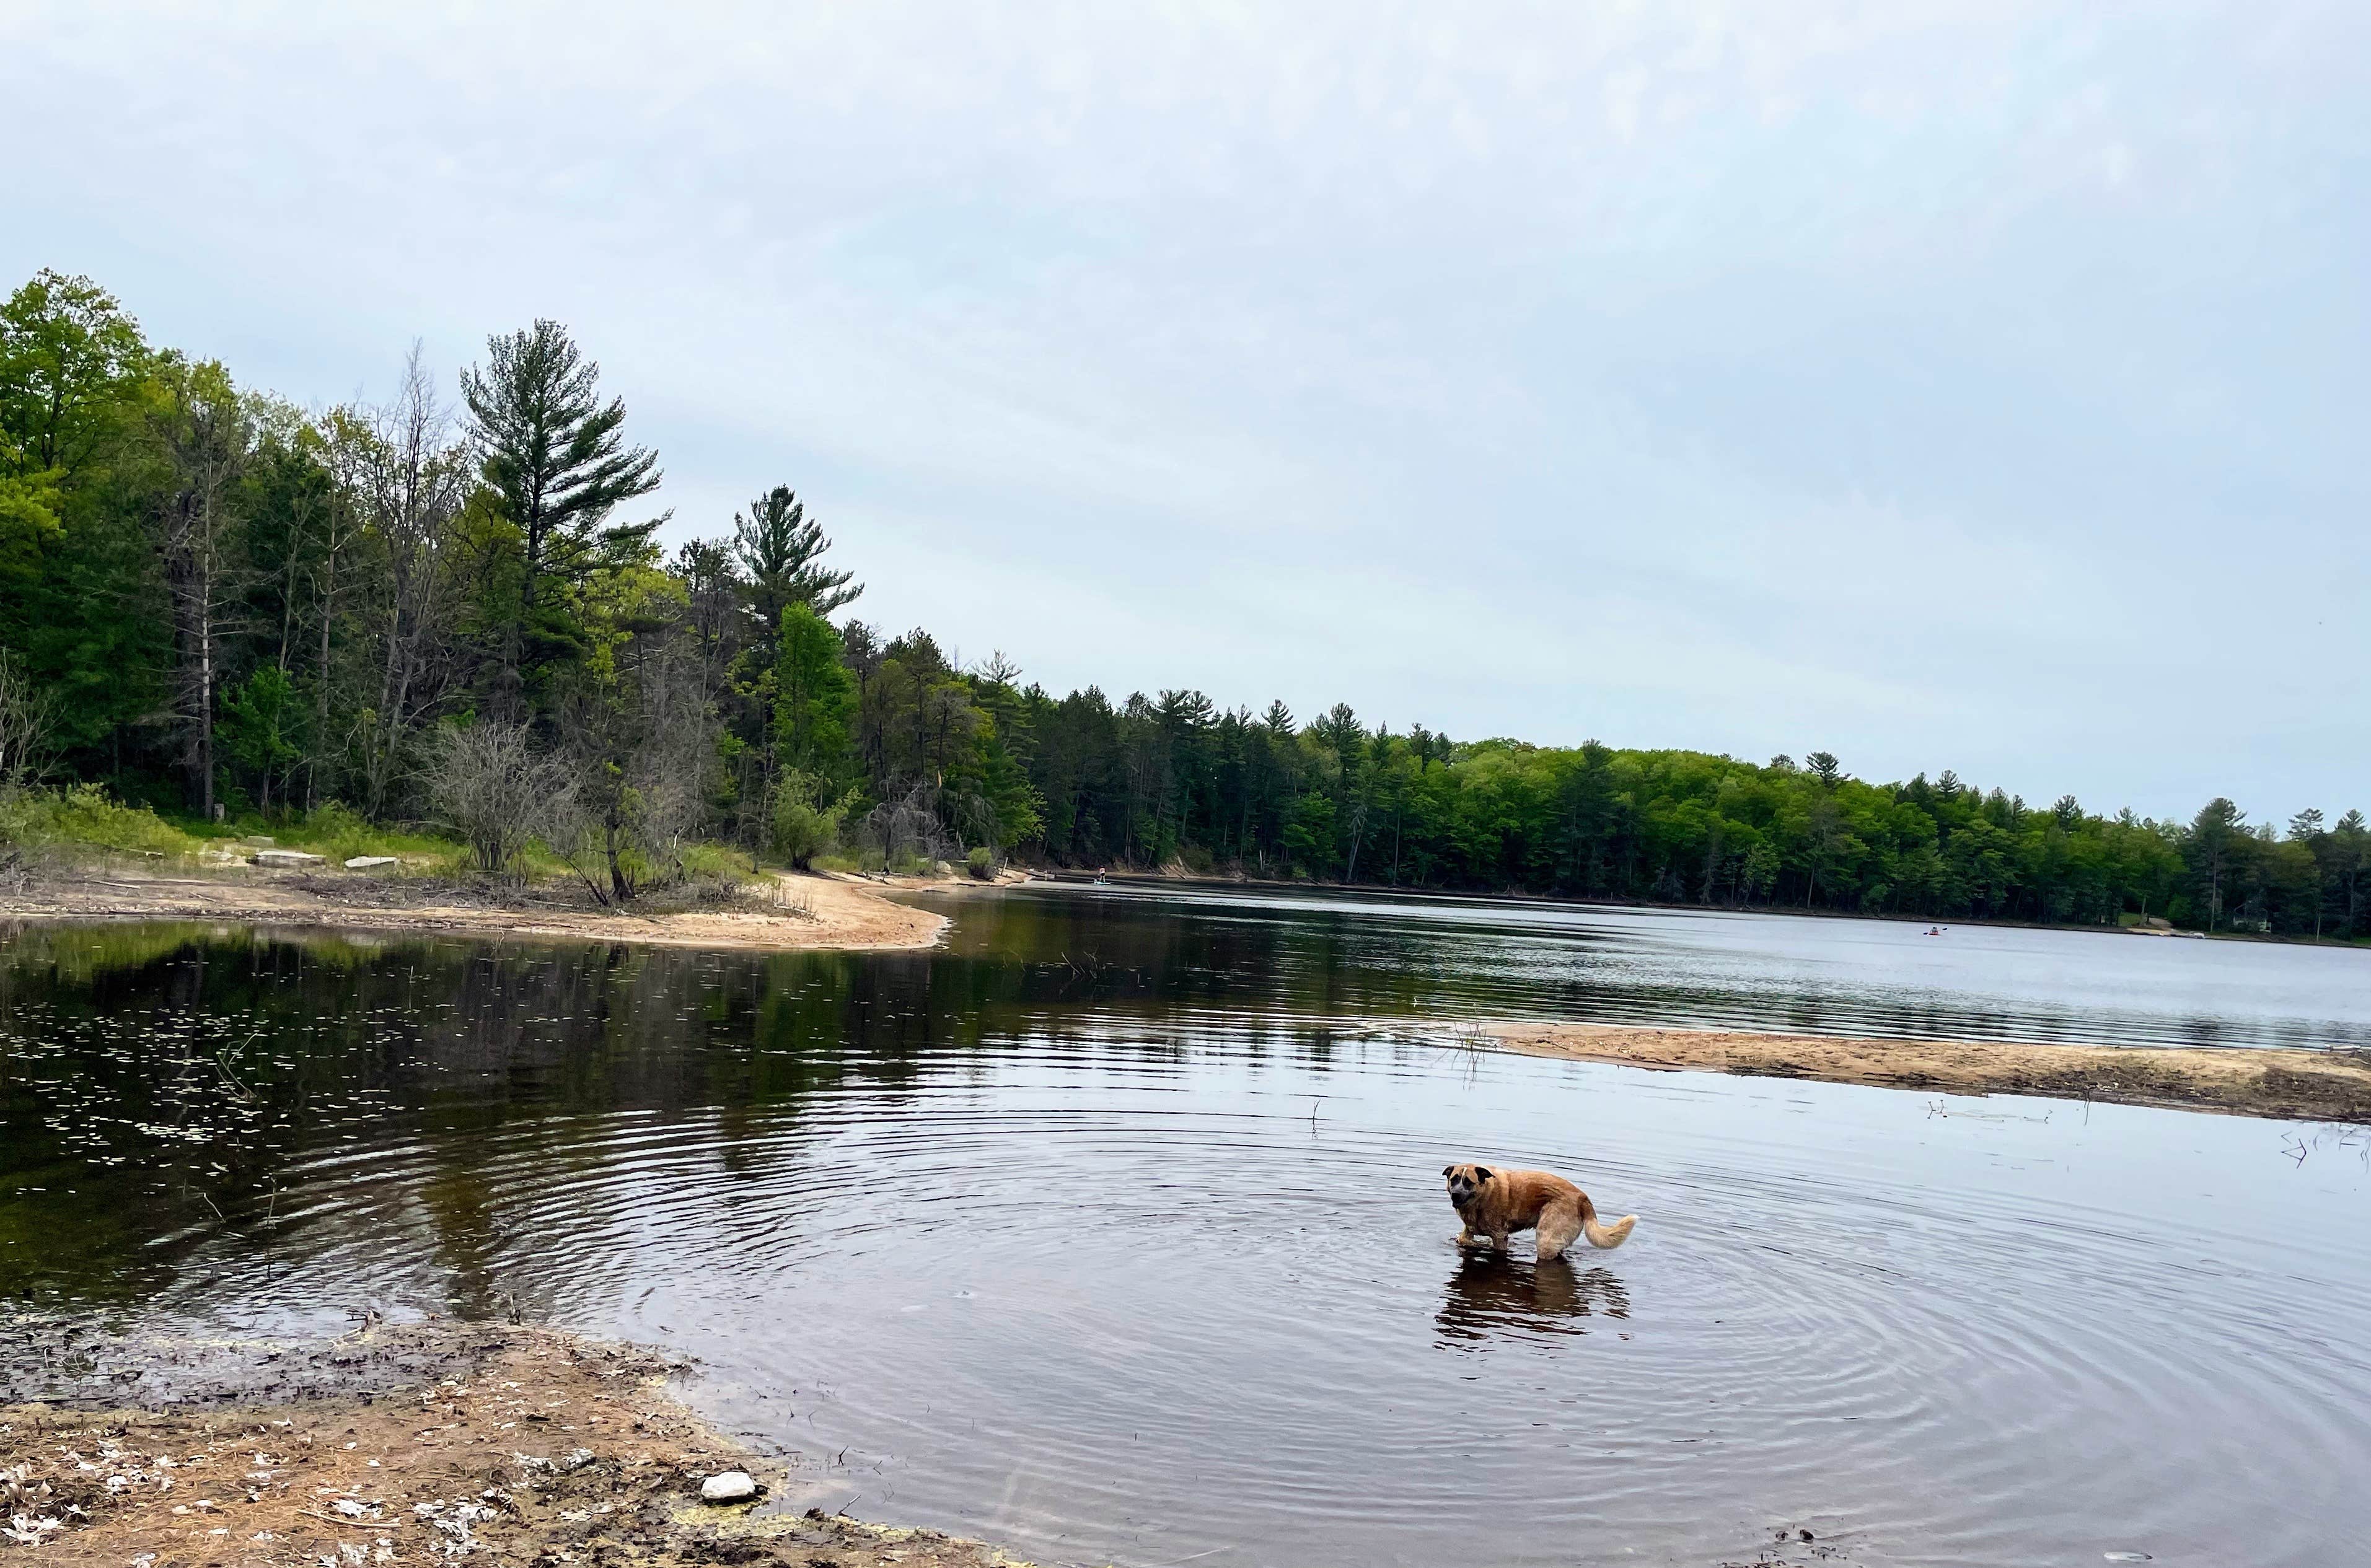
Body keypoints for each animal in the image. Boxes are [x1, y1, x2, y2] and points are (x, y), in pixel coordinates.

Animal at [1432, 1165, 1640, 1269]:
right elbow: (1465, 1240)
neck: (1483, 1196)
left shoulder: (1500, 1236)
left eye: (1468, 1182)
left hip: (1546, 1238)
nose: (1455, 1195)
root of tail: (1583, 1198)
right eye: (1454, 1179)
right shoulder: (1468, 1232)